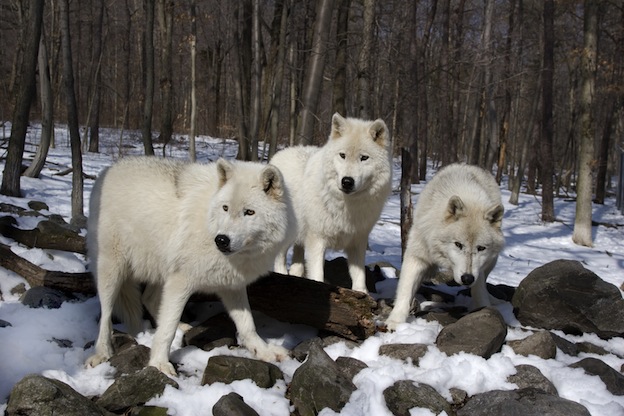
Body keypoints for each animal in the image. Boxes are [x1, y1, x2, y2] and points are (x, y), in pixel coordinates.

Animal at [83, 157, 294, 376]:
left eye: (249, 212)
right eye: (225, 208)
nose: (221, 240)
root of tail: (110, 168)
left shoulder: (231, 286)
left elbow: (247, 325)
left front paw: (264, 351)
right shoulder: (180, 281)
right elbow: (167, 329)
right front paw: (159, 363)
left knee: (148, 299)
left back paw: (183, 327)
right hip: (112, 271)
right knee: (106, 314)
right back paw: (102, 353)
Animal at [270, 112, 392, 290]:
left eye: (364, 158)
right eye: (342, 155)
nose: (347, 181)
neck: (347, 206)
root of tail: (280, 154)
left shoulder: (358, 241)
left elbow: (359, 276)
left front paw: (362, 293)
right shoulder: (317, 240)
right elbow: (317, 275)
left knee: (296, 265)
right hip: (288, 235)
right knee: (279, 259)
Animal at [388, 162, 504, 328]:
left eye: (481, 248)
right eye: (458, 244)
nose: (467, 278)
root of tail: (469, 165)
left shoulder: (478, 271)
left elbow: (480, 291)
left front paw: (485, 312)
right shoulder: (416, 256)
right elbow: (405, 289)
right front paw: (395, 321)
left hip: (491, 262)